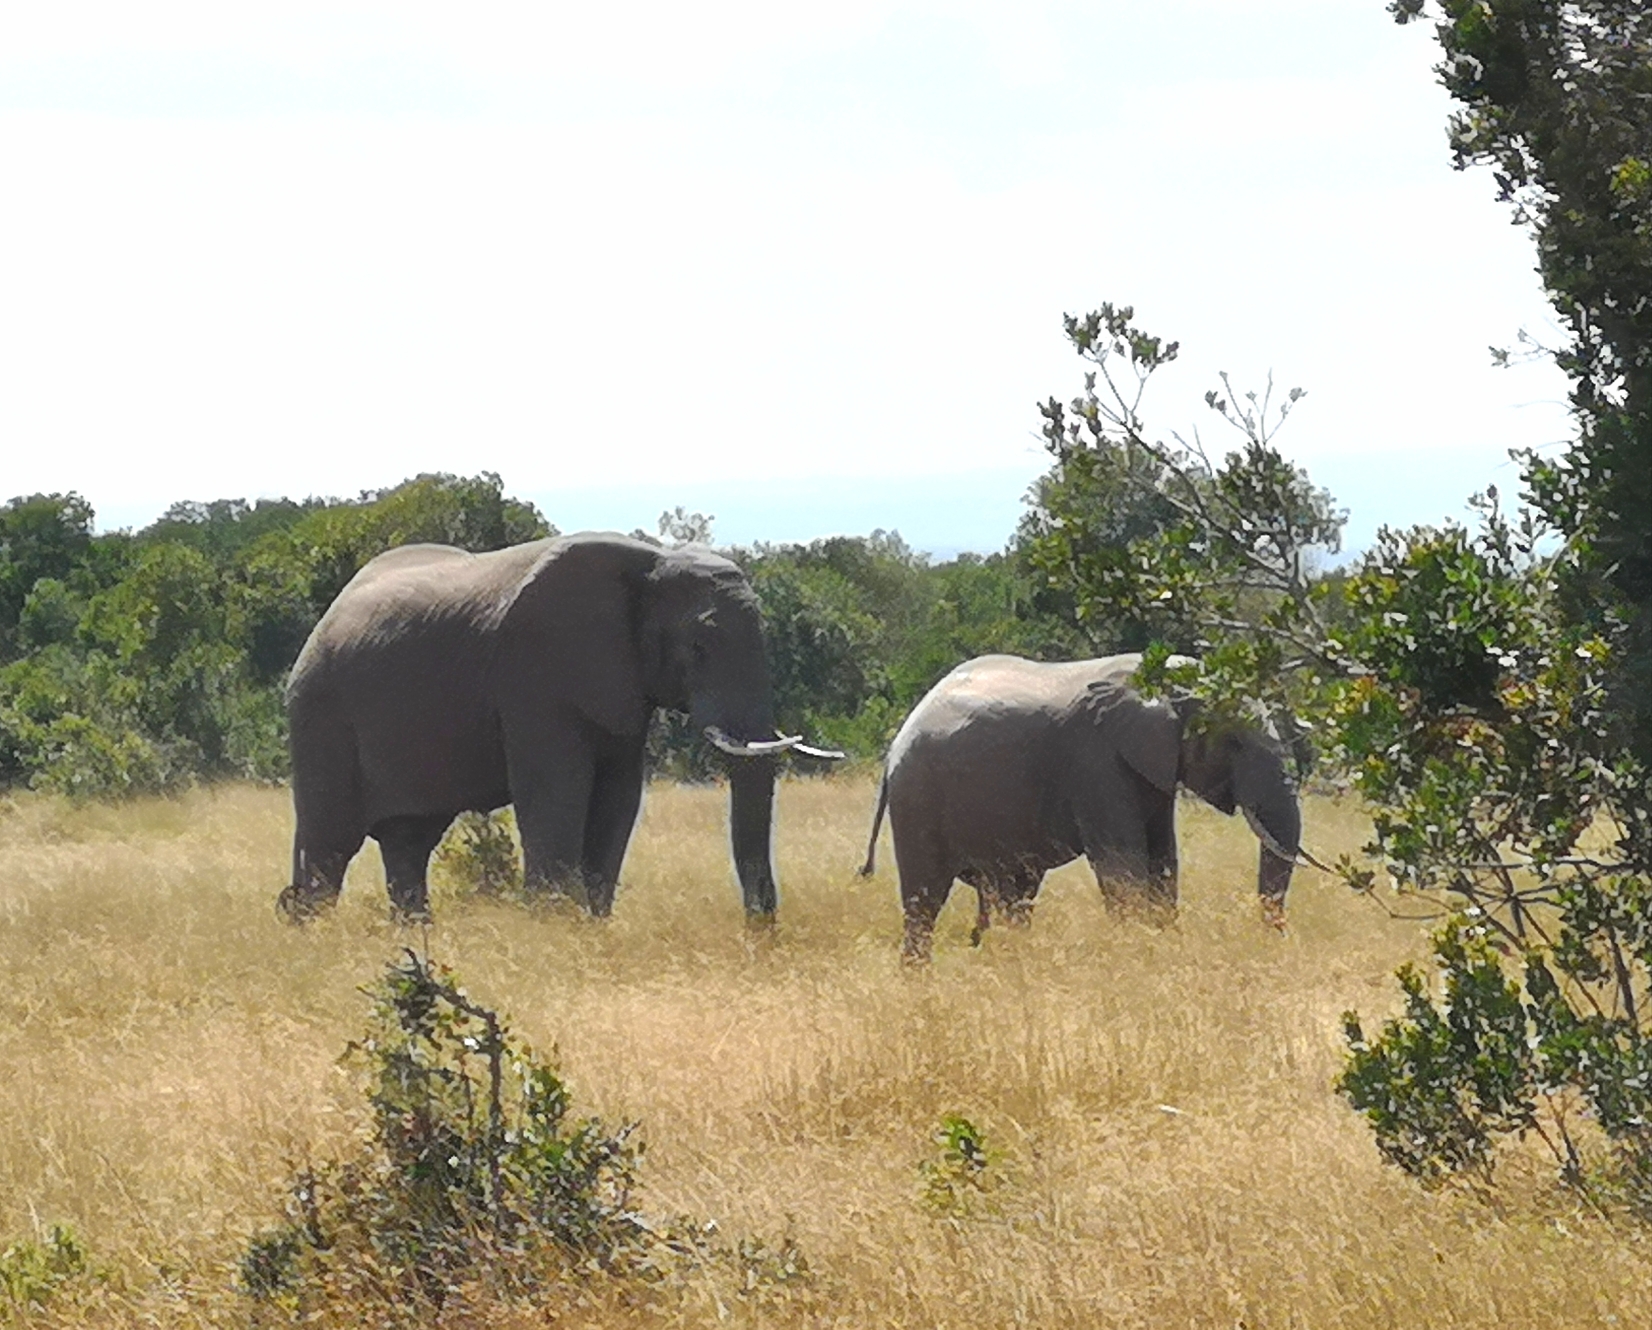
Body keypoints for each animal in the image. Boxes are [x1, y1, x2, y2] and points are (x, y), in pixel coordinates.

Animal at [280, 528, 839, 925]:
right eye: (698, 648)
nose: (758, 931)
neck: (652, 560)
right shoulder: (536, 676)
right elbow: (557, 793)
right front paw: (554, 926)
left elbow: (619, 798)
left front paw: (592, 925)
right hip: (320, 714)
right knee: (331, 846)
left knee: (408, 844)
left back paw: (415, 934)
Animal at [859, 650, 1308, 951]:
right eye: (1233, 742)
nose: (1275, 937)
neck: (1158, 679)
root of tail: (895, 745)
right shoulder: (1097, 763)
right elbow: (1122, 864)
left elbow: (1163, 859)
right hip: (917, 798)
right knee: (925, 899)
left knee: (1011, 894)